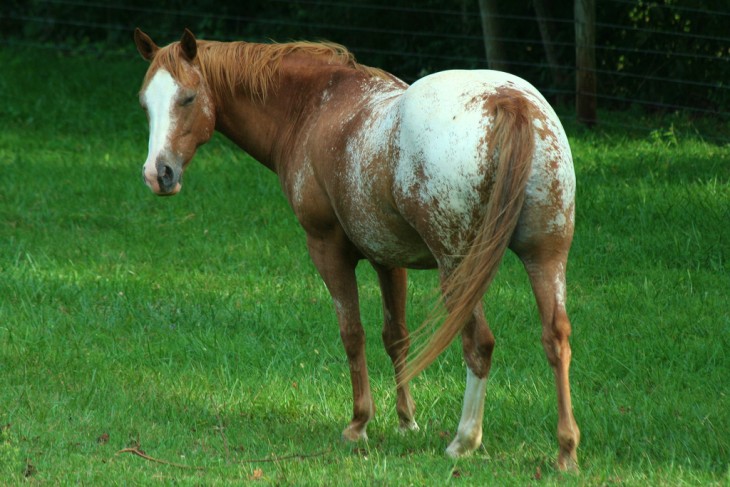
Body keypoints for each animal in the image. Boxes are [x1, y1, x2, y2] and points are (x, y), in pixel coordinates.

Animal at [134, 28, 576, 470]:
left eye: (188, 98)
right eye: (144, 103)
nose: (158, 174)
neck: (313, 108)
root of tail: (508, 101)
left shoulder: (327, 250)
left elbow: (352, 333)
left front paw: (359, 423)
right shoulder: (388, 258)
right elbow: (395, 336)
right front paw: (406, 421)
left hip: (458, 268)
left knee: (479, 344)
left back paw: (464, 440)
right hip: (545, 257)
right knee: (555, 338)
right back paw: (566, 450)